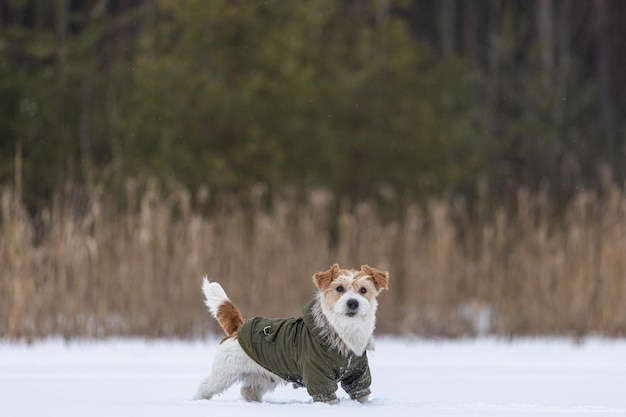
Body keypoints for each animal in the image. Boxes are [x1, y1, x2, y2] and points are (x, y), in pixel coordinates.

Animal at [193, 264, 388, 404]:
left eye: (363, 290)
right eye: (339, 288)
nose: (353, 303)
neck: (344, 335)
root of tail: (238, 329)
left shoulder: (359, 376)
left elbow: (361, 394)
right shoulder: (319, 379)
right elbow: (328, 399)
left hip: (262, 376)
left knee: (248, 391)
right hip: (223, 374)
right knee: (205, 386)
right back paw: (198, 402)